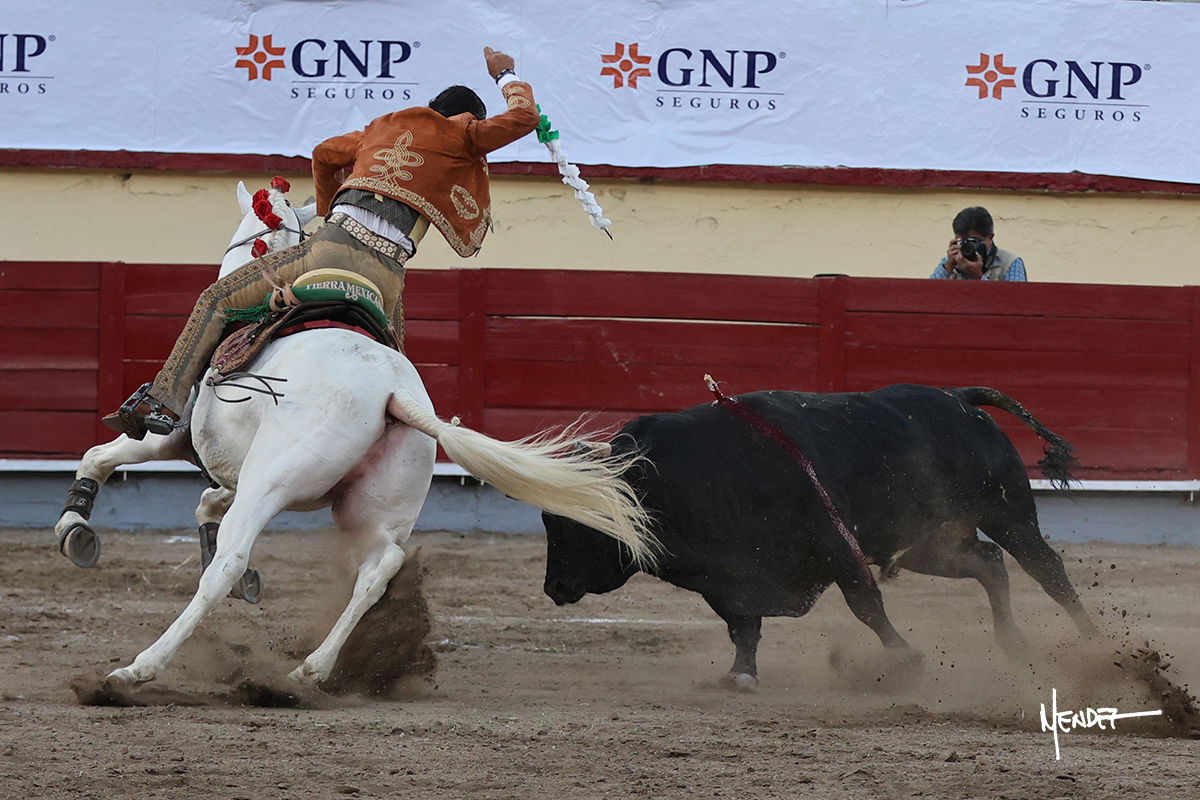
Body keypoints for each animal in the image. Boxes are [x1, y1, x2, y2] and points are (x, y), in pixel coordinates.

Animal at [54, 179, 657, 687]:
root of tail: (392, 391)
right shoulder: (227, 466)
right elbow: (203, 498)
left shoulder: (172, 436)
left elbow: (101, 454)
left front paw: (74, 529)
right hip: (377, 504)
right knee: (378, 568)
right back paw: (312, 669)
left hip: (273, 483)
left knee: (230, 562)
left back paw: (139, 669)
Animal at [542, 383, 1098, 688]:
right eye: (548, 520)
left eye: (580, 519)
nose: (554, 587)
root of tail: (959, 398)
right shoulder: (729, 575)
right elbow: (742, 626)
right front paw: (740, 675)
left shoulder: (834, 545)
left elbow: (865, 605)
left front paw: (905, 659)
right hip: (928, 544)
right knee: (989, 563)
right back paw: (1014, 644)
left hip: (1007, 512)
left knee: (1045, 568)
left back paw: (1095, 642)